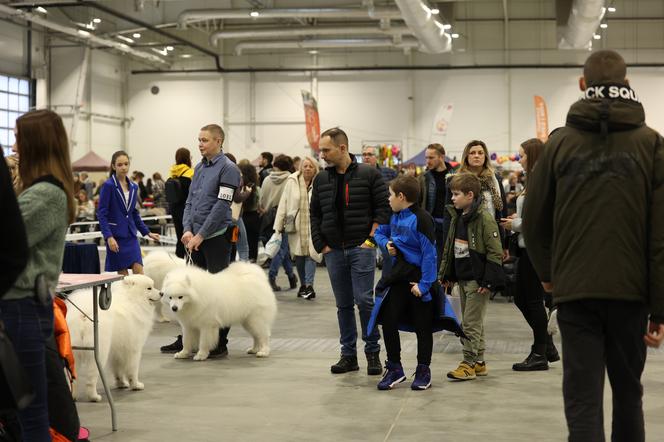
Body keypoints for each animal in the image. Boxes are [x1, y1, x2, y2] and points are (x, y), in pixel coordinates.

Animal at [65, 274, 160, 402]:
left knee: (73, 378)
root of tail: (83, 315)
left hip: (74, 351)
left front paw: (122, 384)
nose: (162, 293)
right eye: (149, 288)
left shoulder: (117, 350)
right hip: (98, 352)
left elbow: (118, 369)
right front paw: (135, 385)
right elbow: (133, 369)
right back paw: (94, 397)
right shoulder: (134, 349)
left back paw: (73, 396)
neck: (132, 299)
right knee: (91, 377)